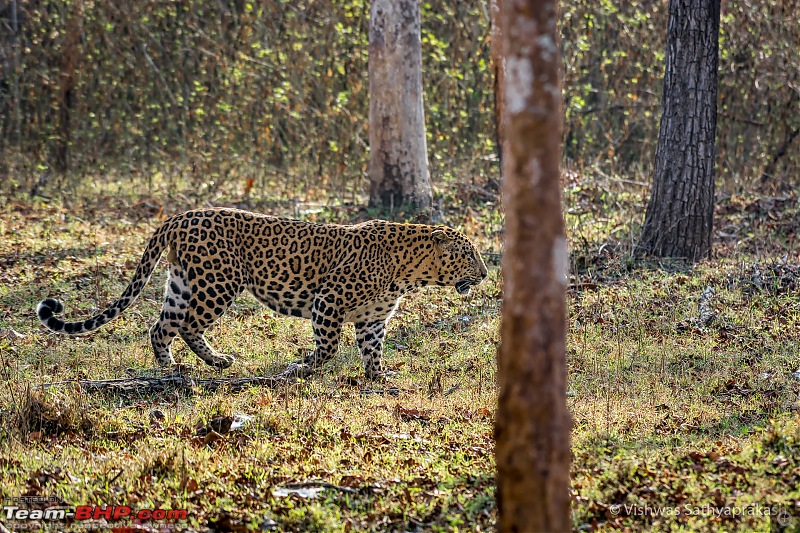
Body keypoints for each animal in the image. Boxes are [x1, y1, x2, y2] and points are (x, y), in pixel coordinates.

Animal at [36, 208, 488, 378]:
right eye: (469, 255)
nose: (485, 274)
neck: (410, 271)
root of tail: (181, 215)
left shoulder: (373, 319)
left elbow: (371, 350)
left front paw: (379, 377)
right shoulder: (329, 301)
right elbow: (328, 346)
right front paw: (302, 367)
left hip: (183, 282)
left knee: (161, 326)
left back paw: (180, 366)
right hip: (217, 283)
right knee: (184, 325)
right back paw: (201, 364)